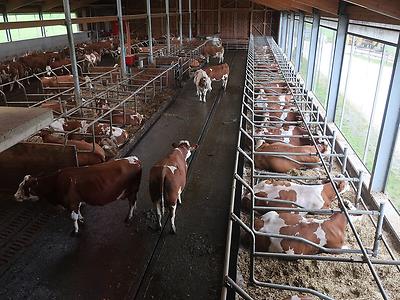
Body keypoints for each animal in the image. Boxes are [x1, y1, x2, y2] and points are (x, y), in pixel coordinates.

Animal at [14, 156, 142, 236]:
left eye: (24, 186)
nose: (15, 196)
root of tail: (135, 159)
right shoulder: (76, 201)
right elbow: (79, 211)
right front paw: (81, 219)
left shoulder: (72, 201)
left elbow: (73, 217)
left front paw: (75, 231)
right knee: (134, 201)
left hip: (132, 190)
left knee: (131, 203)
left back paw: (128, 217)